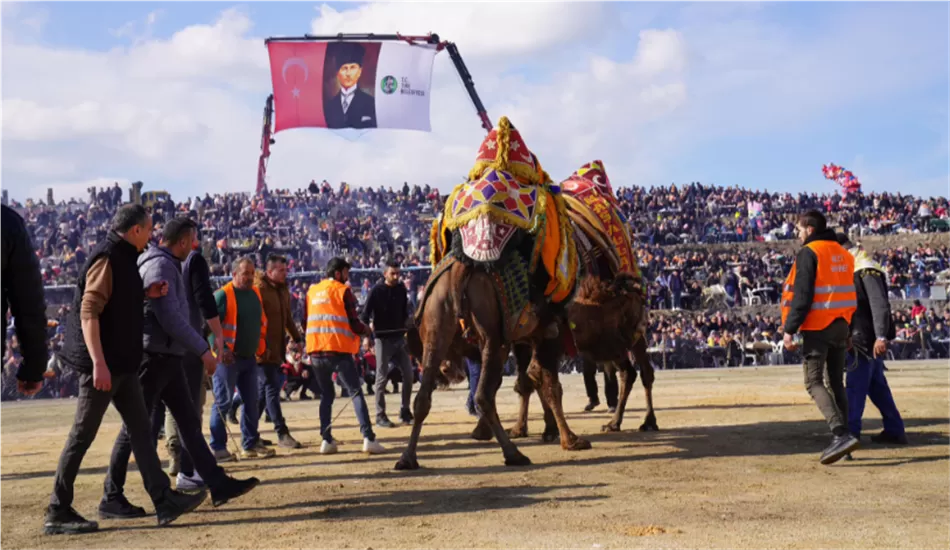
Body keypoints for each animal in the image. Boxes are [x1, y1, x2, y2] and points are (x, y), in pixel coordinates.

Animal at [398, 115, 592, 470]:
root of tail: (462, 265)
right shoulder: (545, 333)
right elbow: (548, 383)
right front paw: (569, 439)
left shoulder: (521, 337)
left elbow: (530, 380)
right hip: (490, 329)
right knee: (484, 395)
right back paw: (513, 453)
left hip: (438, 326)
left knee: (425, 395)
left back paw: (408, 457)